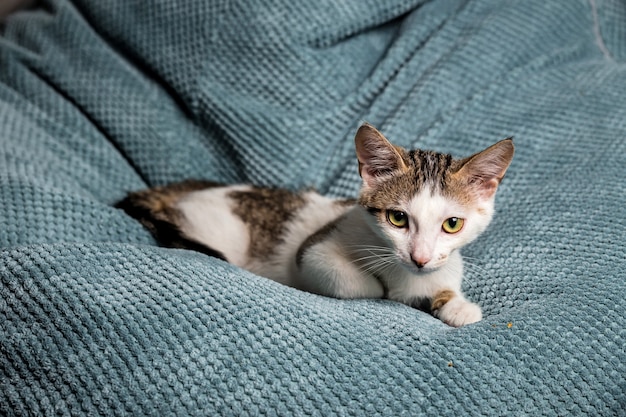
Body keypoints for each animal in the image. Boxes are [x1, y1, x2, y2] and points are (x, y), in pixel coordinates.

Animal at [117, 122, 512, 324]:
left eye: (452, 224)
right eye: (398, 218)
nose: (420, 258)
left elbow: (444, 286)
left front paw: (457, 306)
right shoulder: (313, 252)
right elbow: (356, 283)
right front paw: (384, 289)